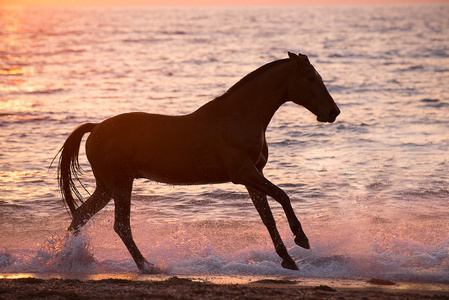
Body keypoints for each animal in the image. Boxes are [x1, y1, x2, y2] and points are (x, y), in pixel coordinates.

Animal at [57, 52, 340, 274]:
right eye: (311, 78)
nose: (333, 112)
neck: (239, 116)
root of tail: (95, 128)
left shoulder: (252, 178)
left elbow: (267, 218)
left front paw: (288, 259)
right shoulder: (244, 173)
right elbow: (283, 196)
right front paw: (301, 238)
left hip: (107, 187)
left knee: (81, 216)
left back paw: (68, 260)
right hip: (121, 184)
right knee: (121, 226)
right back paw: (146, 265)